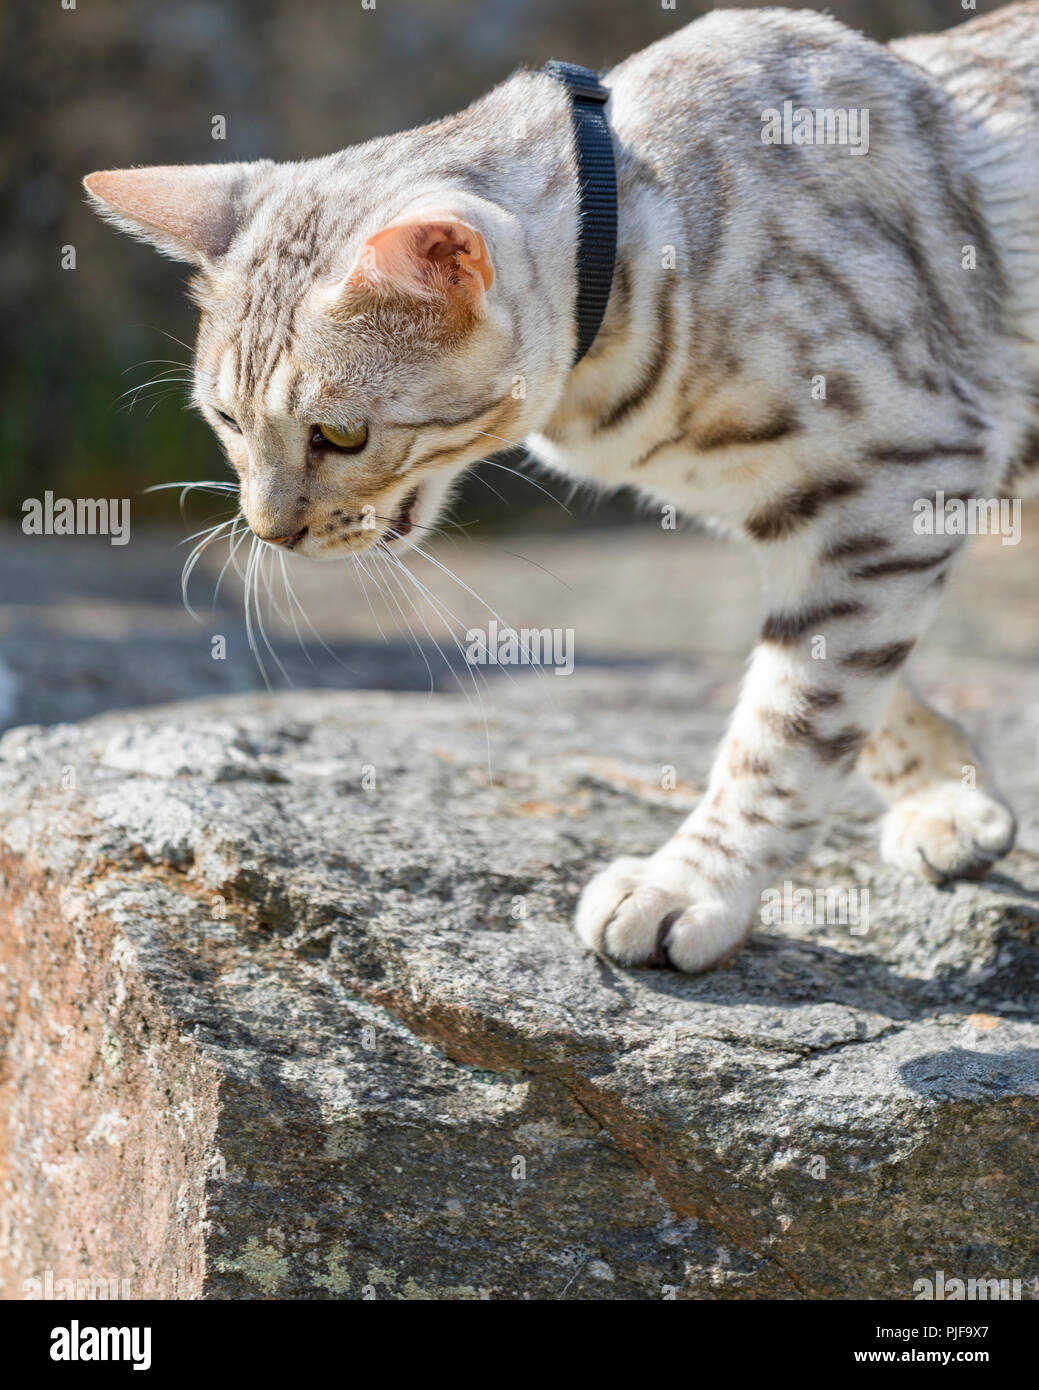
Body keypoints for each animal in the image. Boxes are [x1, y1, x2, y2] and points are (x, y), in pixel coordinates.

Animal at [85, 2, 1039, 978]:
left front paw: (690, 884)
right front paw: (945, 796)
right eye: (227, 420)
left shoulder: (902, 469)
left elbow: (794, 716)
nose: (270, 531)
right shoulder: (814, 517)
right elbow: (863, 681)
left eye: (341, 435)